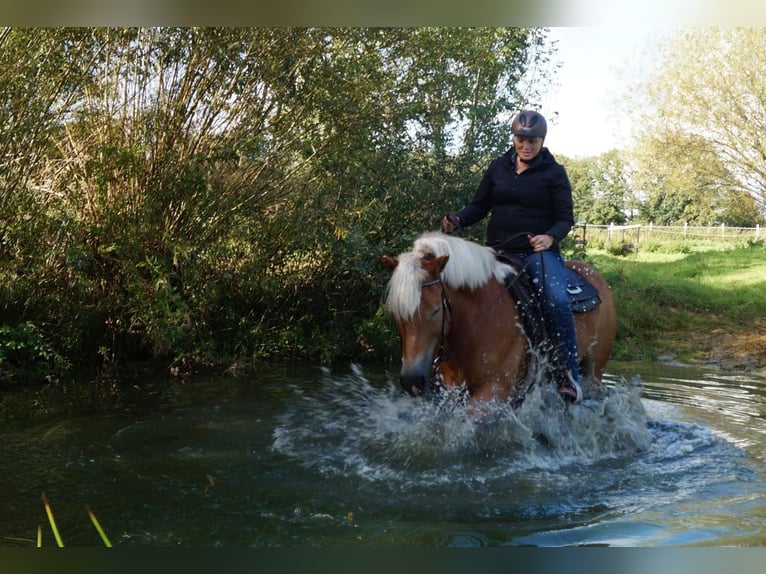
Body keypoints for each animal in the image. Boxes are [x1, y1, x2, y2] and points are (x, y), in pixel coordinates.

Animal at [380, 232, 620, 408]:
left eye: (436, 310)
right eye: (396, 313)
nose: (411, 381)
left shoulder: (495, 390)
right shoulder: (453, 391)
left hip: (595, 369)